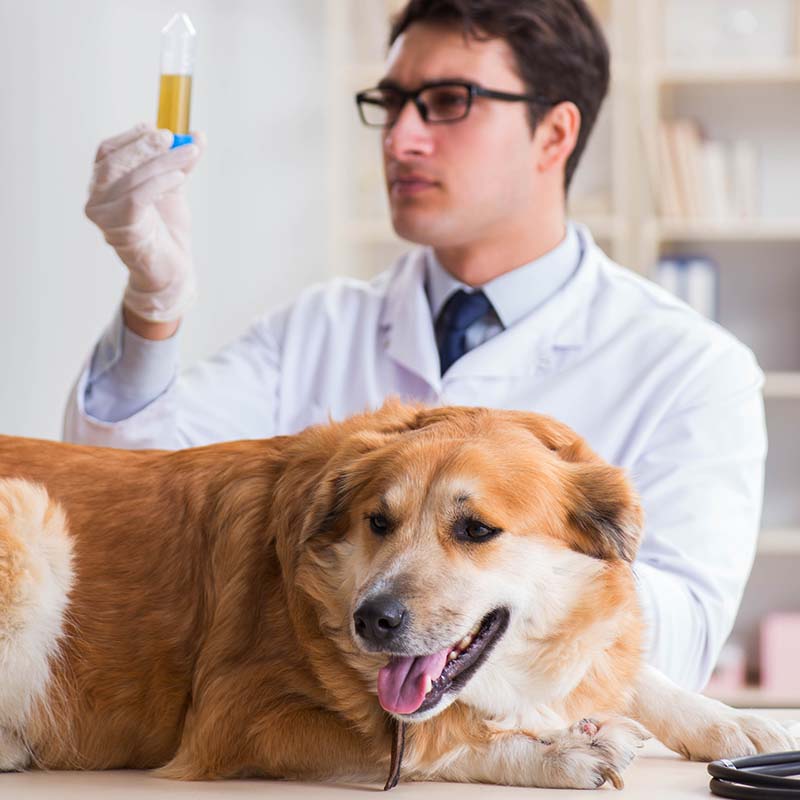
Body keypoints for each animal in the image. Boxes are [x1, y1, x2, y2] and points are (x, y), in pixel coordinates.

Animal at [0, 400, 792, 788]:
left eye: (476, 529)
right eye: (378, 522)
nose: (371, 621)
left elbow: (623, 663)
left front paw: (730, 721)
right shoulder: (237, 718)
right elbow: (420, 741)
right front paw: (555, 751)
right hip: (30, 519)